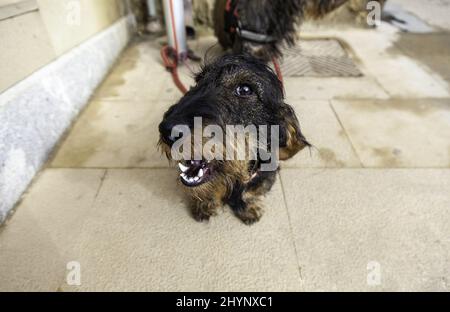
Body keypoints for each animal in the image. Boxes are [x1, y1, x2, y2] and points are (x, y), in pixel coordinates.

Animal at [158, 53, 310, 224]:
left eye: (245, 89)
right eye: (199, 80)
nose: (167, 130)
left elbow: (250, 191)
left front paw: (247, 207)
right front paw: (205, 204)